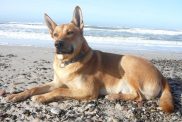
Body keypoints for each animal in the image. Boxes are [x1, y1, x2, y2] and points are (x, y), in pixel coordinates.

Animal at [5, 5, 173, 112]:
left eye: (70, 32)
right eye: (55, 34)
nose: (57, 44)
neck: (68, 62)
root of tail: (161, 75)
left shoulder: (87, 90)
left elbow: (60, 90)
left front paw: (41, 97)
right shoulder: (55, 82)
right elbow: (33, 88)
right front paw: (16, 95)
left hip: (128, 64)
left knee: (139, 96)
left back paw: (112, 96)